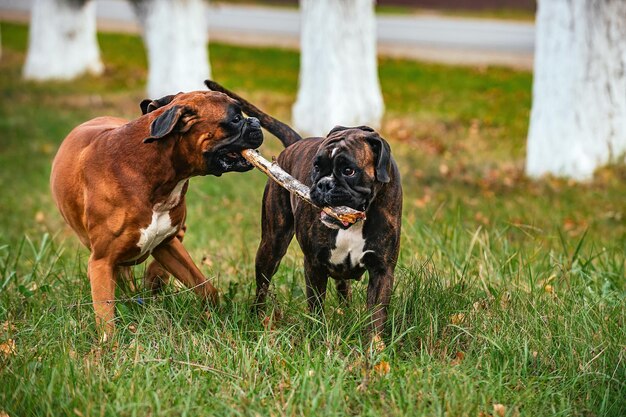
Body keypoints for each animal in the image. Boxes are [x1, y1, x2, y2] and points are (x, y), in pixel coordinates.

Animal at [50, 90, 262, 338]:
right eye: (235, 119)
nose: (256, 121)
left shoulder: (166, 245)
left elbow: (206, 288)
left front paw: (212, 318)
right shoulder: (101, 262)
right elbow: (106, 321)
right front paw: (109, 347)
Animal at [205, 79, 400, 336]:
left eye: (349, 170)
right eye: (316, 166)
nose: (324, 184)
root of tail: (296, 142)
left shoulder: (382, 270)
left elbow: (376, 316)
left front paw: (374, 344)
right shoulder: (314, 264)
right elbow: (316, 306)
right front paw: (319, 334)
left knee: (343, 287)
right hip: (272, 245)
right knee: (262, 285)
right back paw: (257, 317)